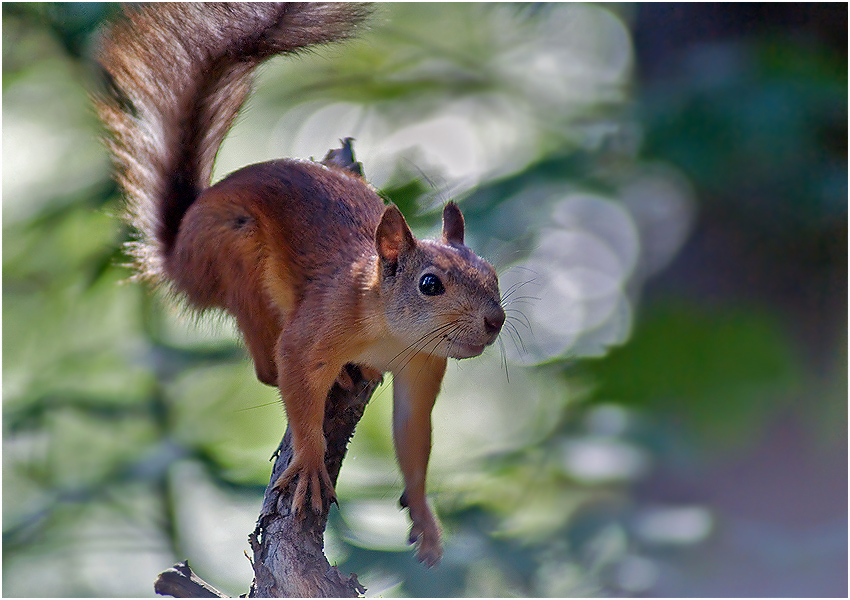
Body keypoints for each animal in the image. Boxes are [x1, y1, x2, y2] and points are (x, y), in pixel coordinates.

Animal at [94, 2, 504, 564]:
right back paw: (345, 376)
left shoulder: (423, 368)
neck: (388, 330)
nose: (496, 320)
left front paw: (423, 516)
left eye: (492, 273)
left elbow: (412, 435)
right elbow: (294, 380)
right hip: (239, 257)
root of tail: (181, 252)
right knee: (267, 367)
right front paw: (310, 466)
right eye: (429, 285)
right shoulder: (316, 329)